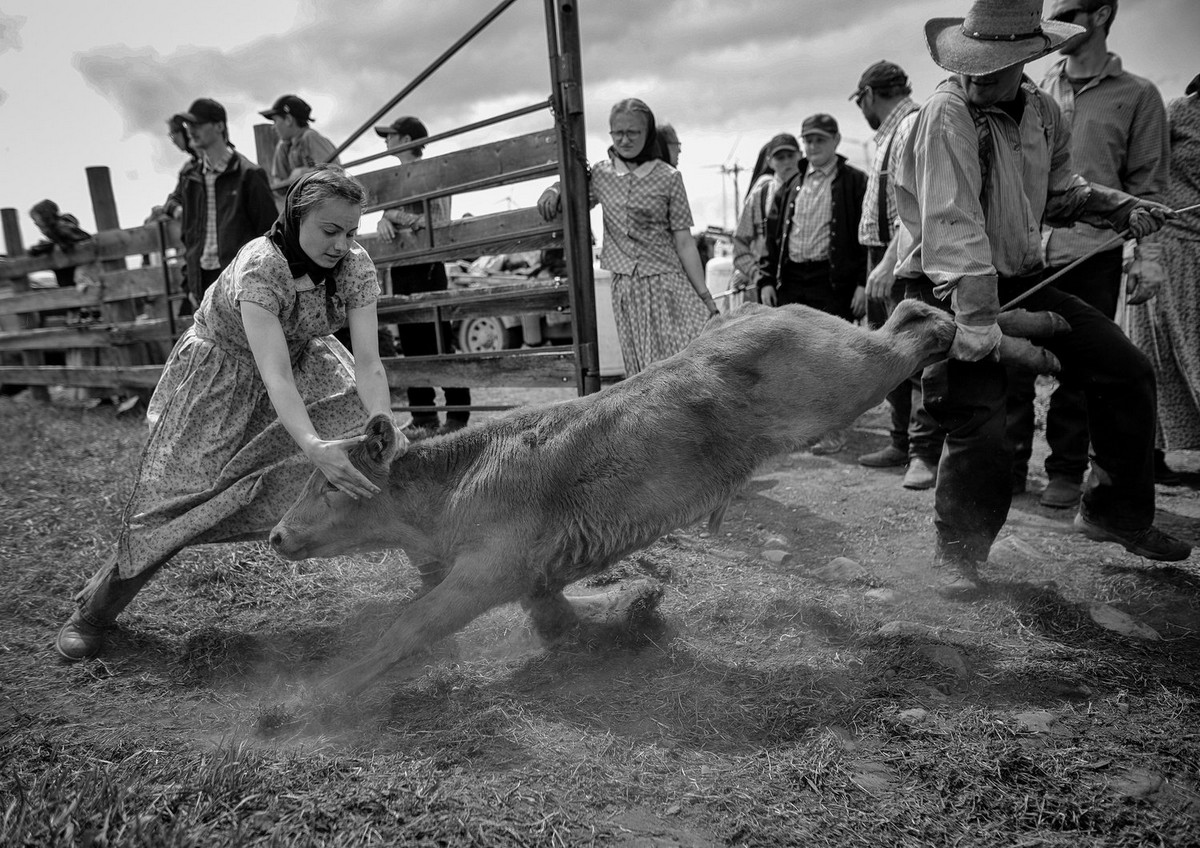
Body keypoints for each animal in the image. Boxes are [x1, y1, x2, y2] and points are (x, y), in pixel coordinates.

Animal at [270, 299, 1051, 695]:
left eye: (328, 482)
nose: (275, 535)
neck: (460, 481)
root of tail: (769, 309)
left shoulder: (482, 575)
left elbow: (409, 626)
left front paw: (307, 703)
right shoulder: (532, 579)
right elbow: (558, 622)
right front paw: (632, 609)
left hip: (848, 377)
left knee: (913, 330)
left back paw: (989, 333)